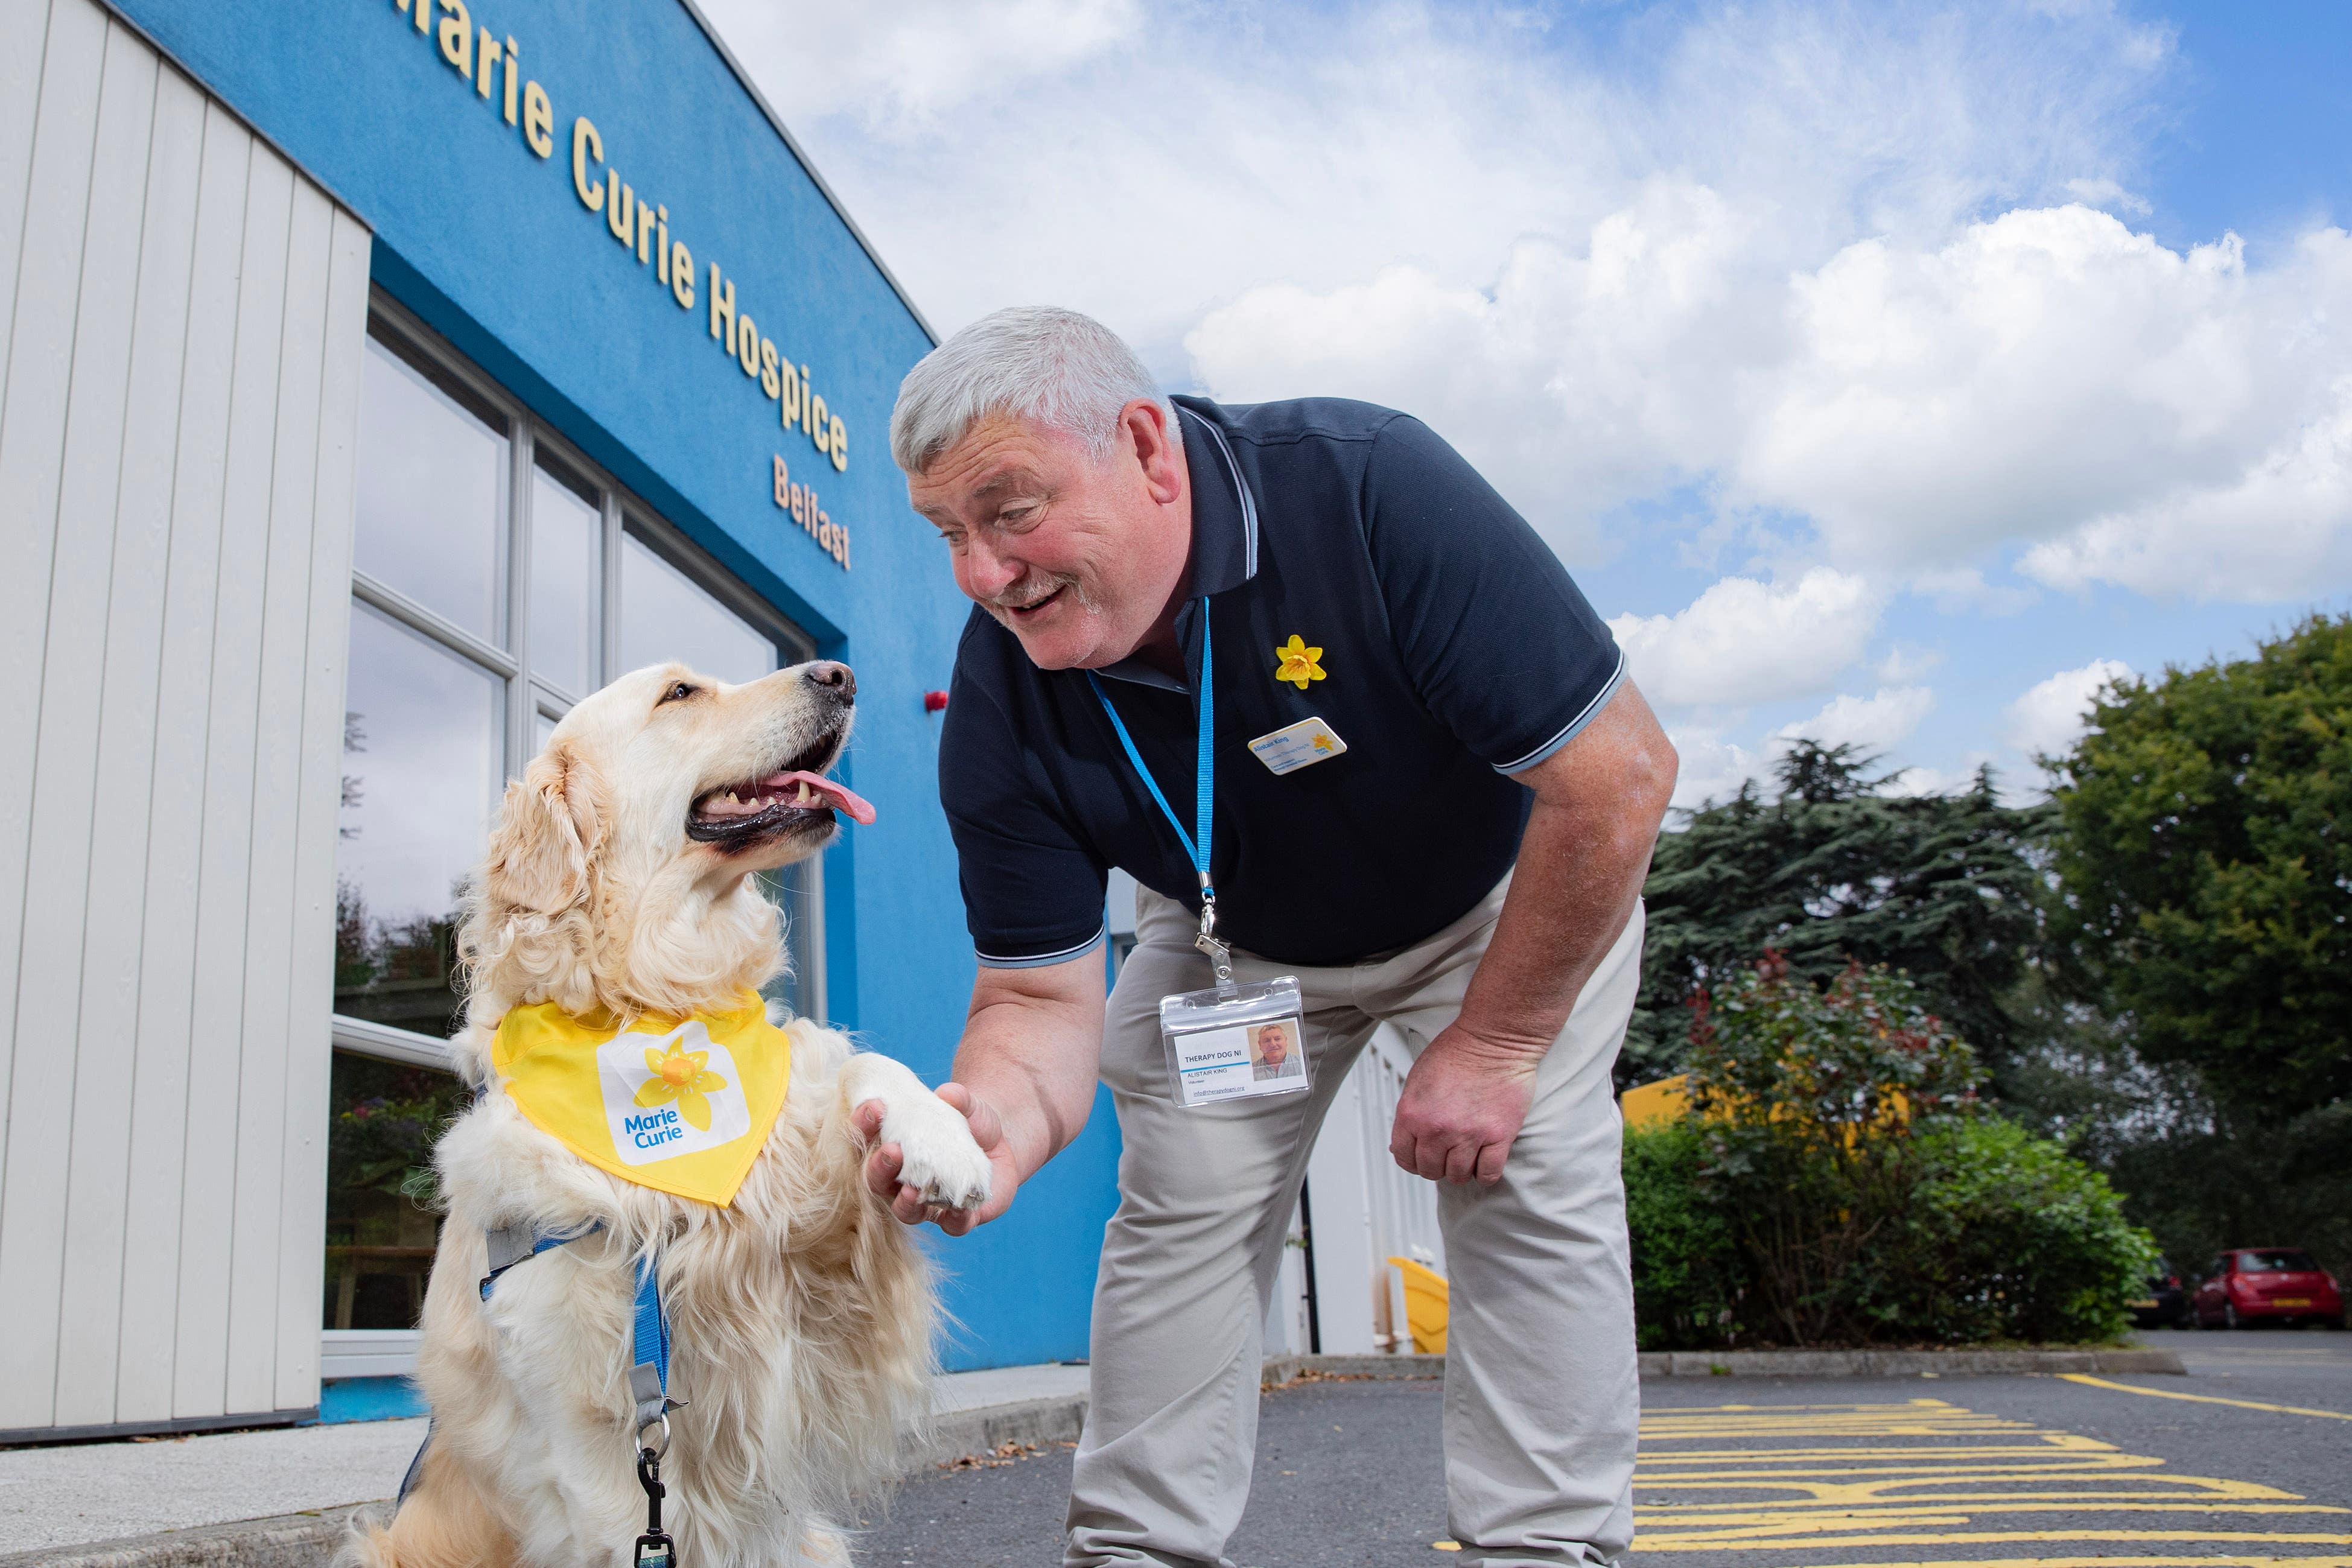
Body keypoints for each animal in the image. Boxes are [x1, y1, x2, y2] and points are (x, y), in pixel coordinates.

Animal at [343, 658, 988, 1568]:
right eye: (680, 693)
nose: (841, 673)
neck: (653, 1004)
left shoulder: (812, 1269)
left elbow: (853, 1066)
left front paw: (939, 1136)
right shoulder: (586, 1425)